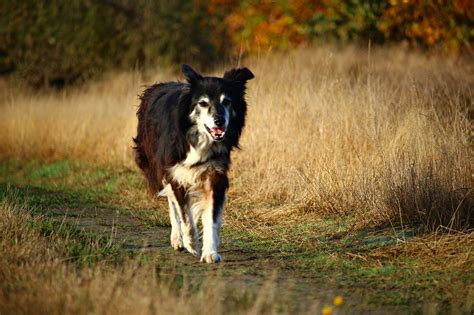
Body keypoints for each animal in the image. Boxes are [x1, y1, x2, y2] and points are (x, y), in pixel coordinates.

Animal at [133, 64, 256, 264]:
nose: (220, 121)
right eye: (203, 103)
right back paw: (177, 239)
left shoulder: (215, 174)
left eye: (227, 102)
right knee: (172, 203)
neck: (198, 138)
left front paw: (210, 251)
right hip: (156, 164)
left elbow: (211, 216)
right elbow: (185, 216)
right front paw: (191, 243)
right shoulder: (175, 172)